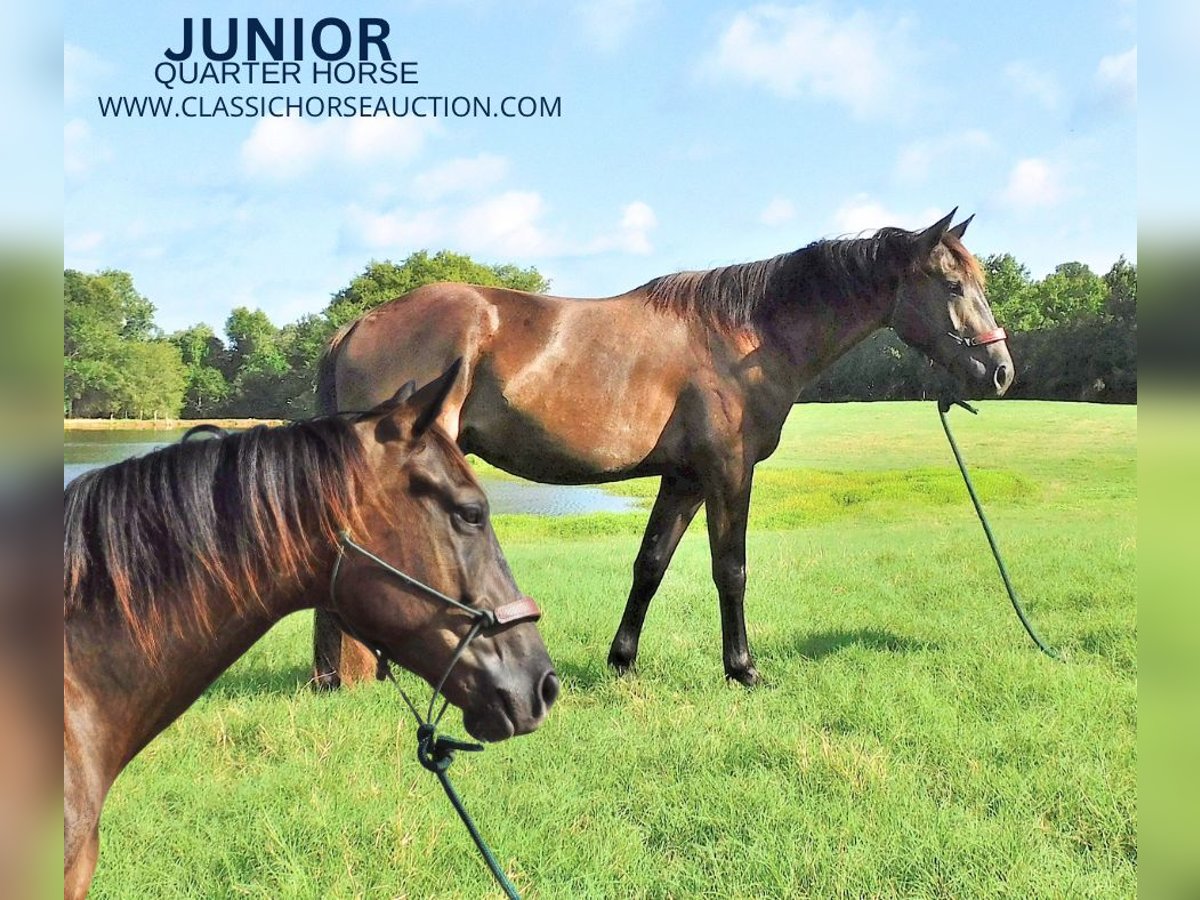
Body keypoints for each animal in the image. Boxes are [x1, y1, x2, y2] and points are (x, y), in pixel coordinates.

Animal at [314, 211, 1008, 691]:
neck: (746, 336)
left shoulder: (684, 479)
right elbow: (731, 570)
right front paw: (743, 670)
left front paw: (622, 662)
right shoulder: (728, 473)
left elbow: (649, 566)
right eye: (951, 285)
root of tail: (360, 323)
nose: (1000, 370)